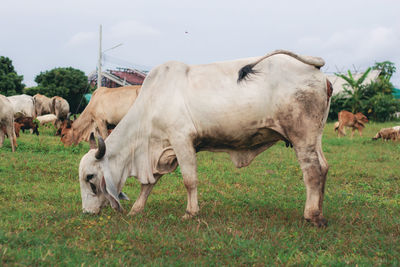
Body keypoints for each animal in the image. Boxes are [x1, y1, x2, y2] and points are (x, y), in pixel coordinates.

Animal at [77, 49, 332, 226]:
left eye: (90, 177)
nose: (86, 212)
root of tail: (316, 68)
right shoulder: (162, 151)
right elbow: (148, 184)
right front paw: (136, 209)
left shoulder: (182, 140)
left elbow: (189, 180)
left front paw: (190, 212)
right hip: (315, 137)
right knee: (324, 167)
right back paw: (320, 211)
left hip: (302, 137)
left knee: (312, 171)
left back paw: (312, 215)